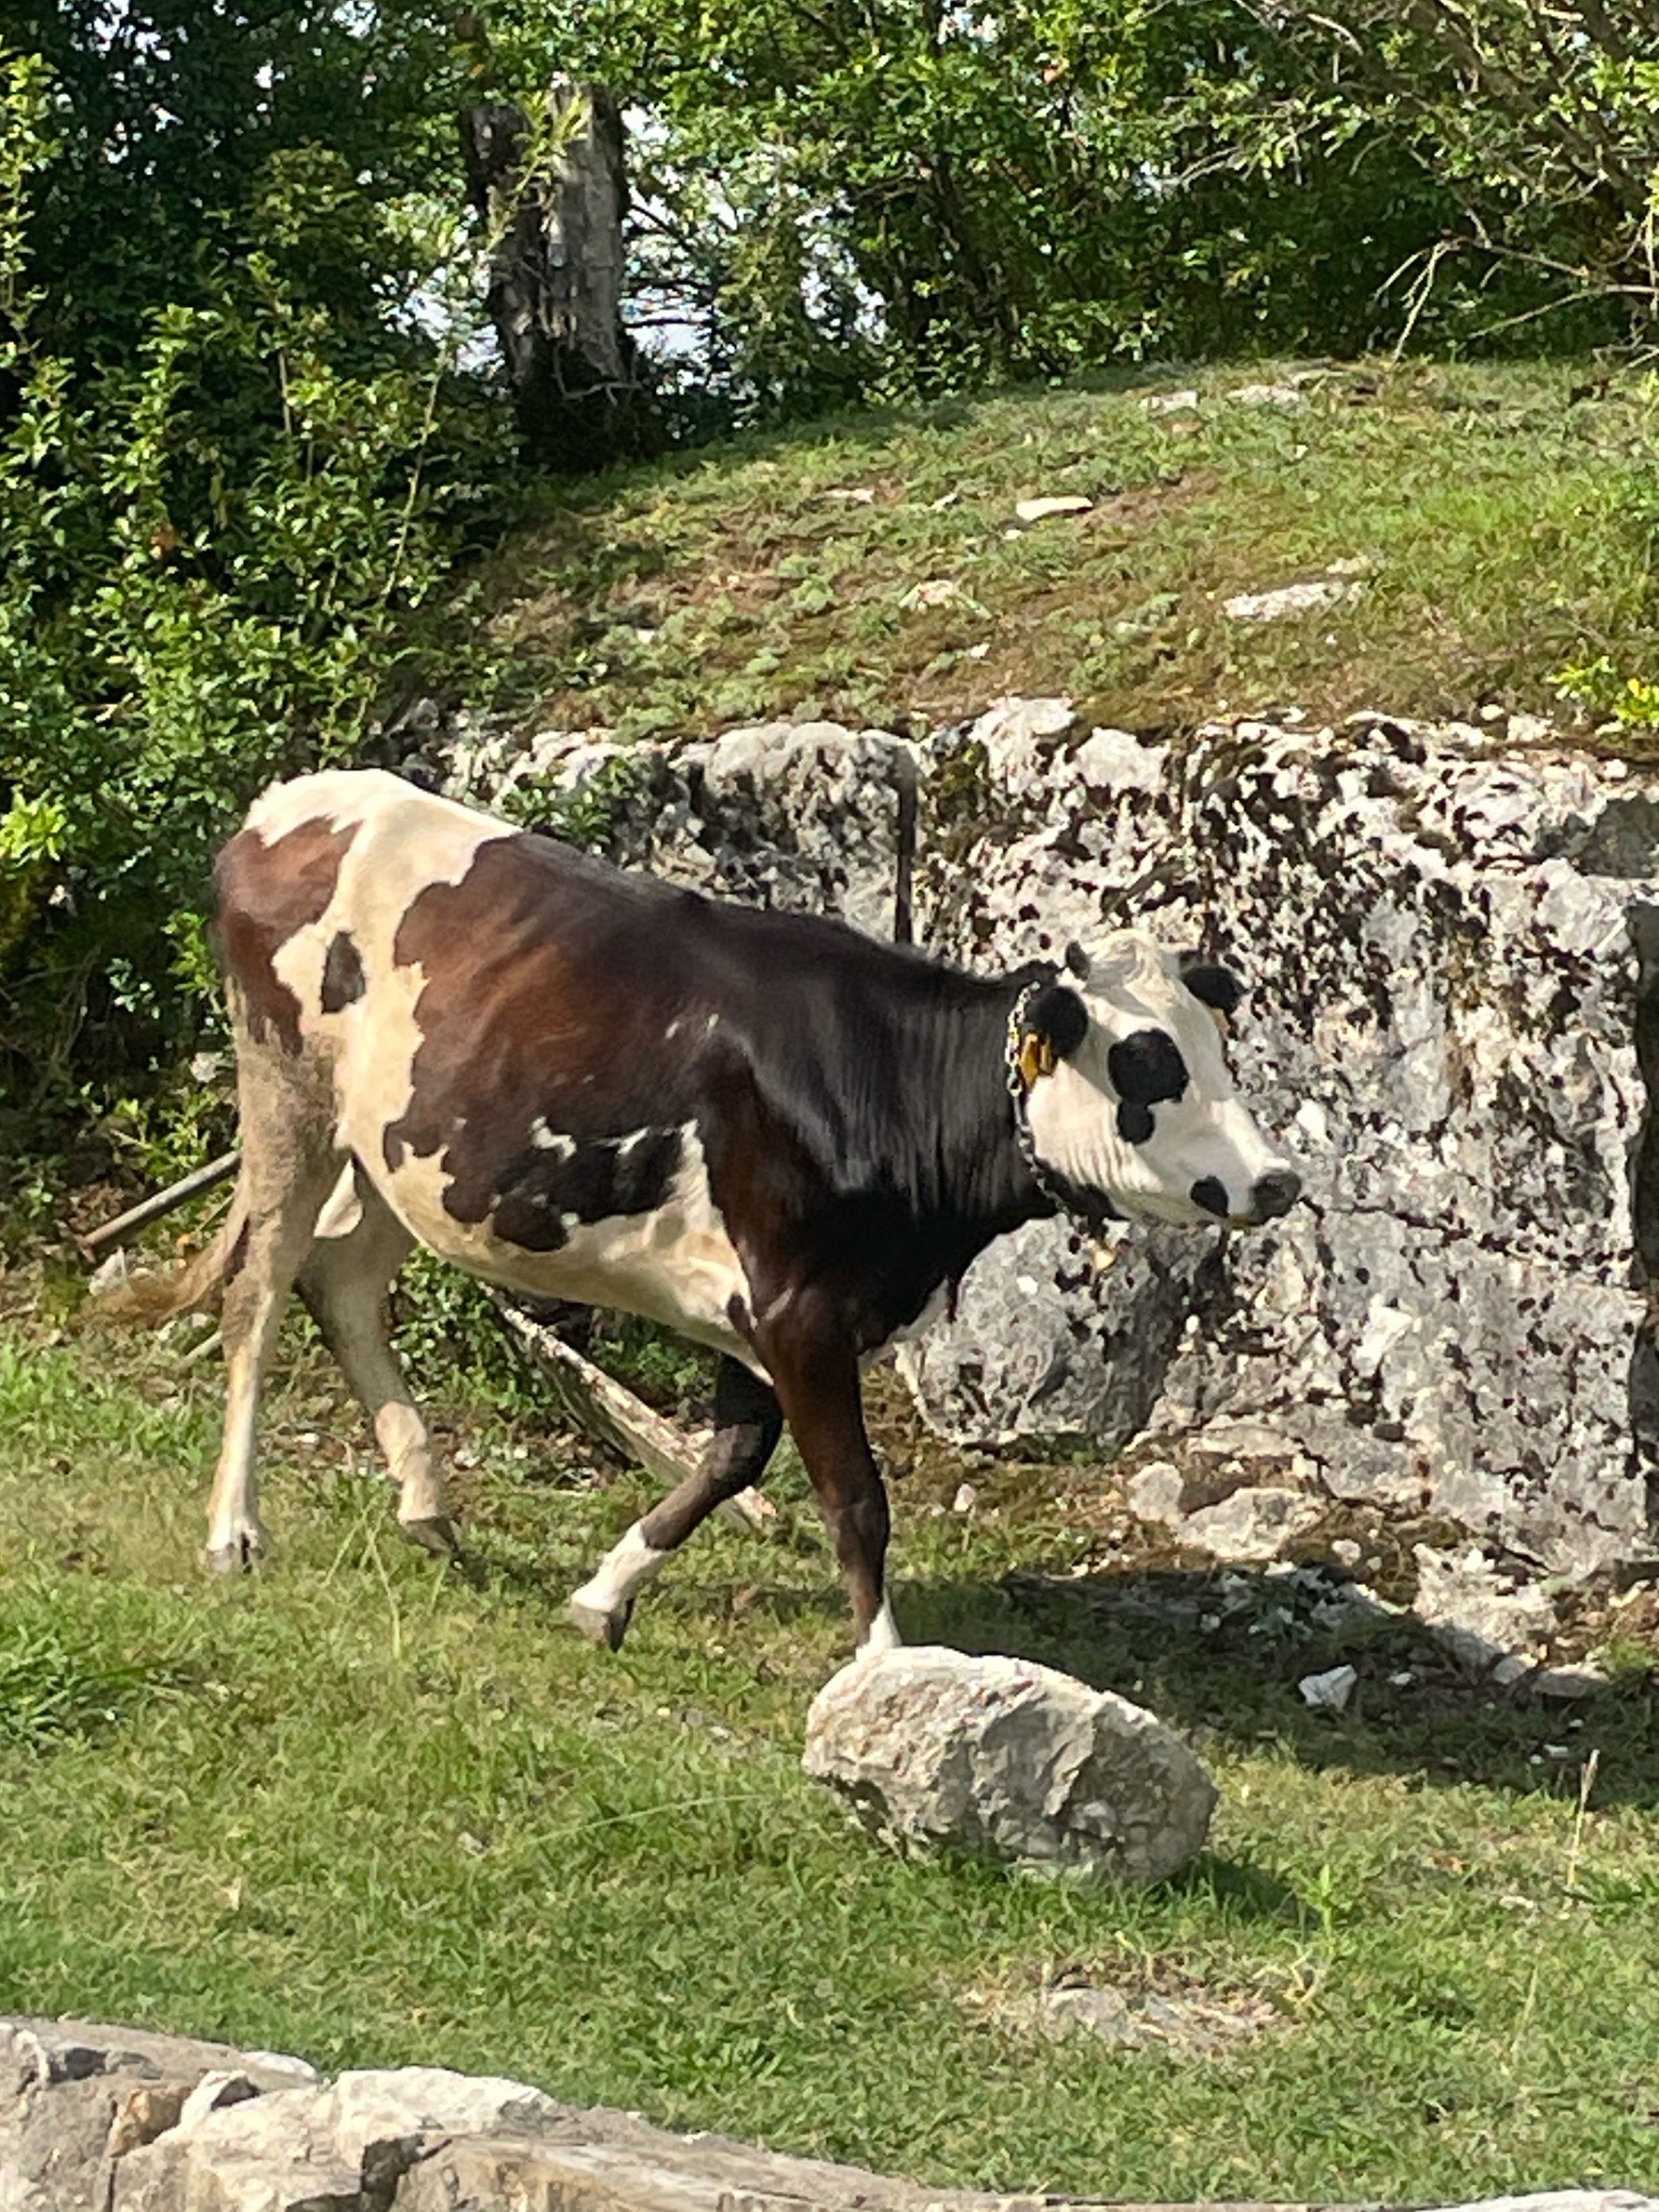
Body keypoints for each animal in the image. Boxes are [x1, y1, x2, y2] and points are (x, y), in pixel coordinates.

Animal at [110, 769, 1309, 1654]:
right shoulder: (797, 1302)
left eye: (1218, 1050)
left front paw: (602, 1593)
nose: (1278, 1177)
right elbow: (854, 1497)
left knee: (341, 1278)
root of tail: (289, 801)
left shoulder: (756, 1302)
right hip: (286, 1092)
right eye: (1147, 1064)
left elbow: (733, 1455)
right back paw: (235, 1530)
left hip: (401, 1147)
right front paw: (883, 1662)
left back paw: (427, 1505)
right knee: (259, 1289)